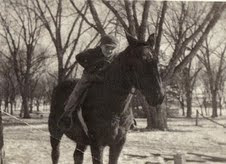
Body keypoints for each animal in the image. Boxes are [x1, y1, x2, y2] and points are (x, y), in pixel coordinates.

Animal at [48, 34, 164, 163]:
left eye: (156, 60)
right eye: (141, 60)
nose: (159, 96)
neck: (114, 108)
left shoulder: (118, 143)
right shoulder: (97, 144)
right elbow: (80, 56)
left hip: (81, 139)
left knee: (77, 156)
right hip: (55, 132)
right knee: (55, 154)